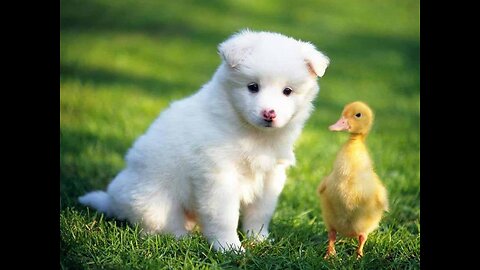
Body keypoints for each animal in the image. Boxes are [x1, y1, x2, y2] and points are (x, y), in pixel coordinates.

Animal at [79, 30, 328, 252]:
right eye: (252, 87)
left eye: (287, 91)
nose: (269, 113)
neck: (252, 134)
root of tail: (112, 200)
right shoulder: (219, 176)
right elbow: (224, 217)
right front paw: (230, 249)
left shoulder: (271, 175)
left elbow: (260, 213)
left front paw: (259, 240)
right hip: (154, 203)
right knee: (157, 229)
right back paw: (183, 238)